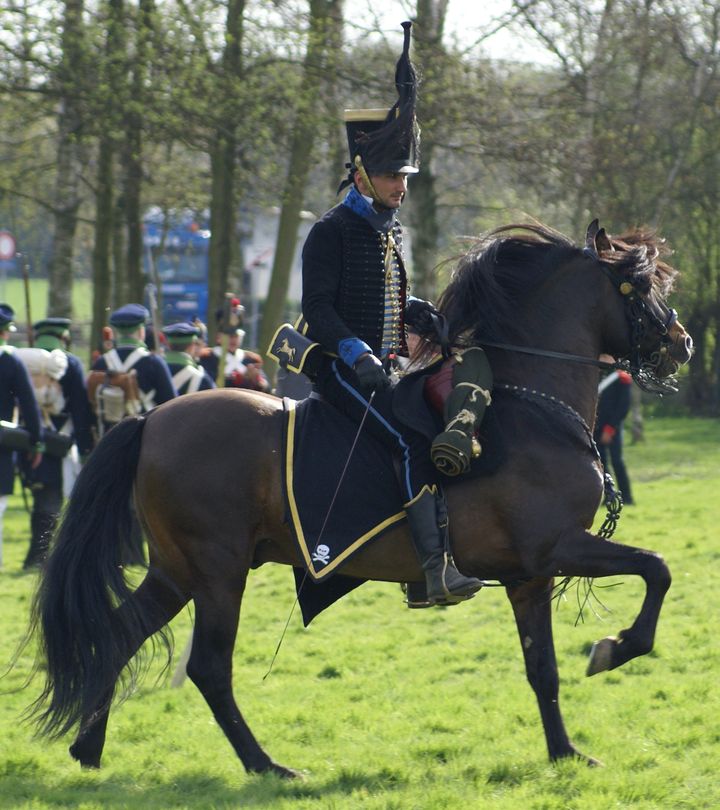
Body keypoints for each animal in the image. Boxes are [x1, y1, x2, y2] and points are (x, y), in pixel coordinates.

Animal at [26, 219, 692, 772]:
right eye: (640, 286)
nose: (681, 342)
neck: (529, 405)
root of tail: (151, 420)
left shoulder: (528, 575)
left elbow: (543, 669)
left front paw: (565, 753)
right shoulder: (556, 547)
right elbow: (656, 569)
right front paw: (617, 649)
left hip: (175, 570)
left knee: (119, 635)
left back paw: (89, 748)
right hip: (217, 571)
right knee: (209, 667)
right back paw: (265, 765)